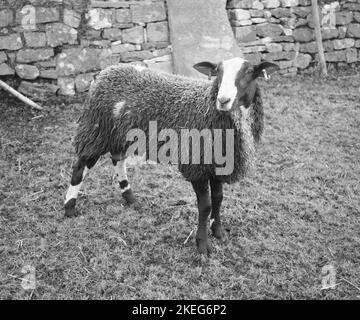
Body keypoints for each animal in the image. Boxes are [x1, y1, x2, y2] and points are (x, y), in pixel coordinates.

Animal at [64, 57, 278, 256]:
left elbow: (218, 199)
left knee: (117, 159)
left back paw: (129, 197)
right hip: (97, 129)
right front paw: (202, 245)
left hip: (119, 134)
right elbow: (206, 206)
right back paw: (69, 208)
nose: (223, 100)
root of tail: (107, 70)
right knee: (80, 167)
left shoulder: (217, 163)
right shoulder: (196, 164)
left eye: (250, 71)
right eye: (217, 71)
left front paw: (218, 232)